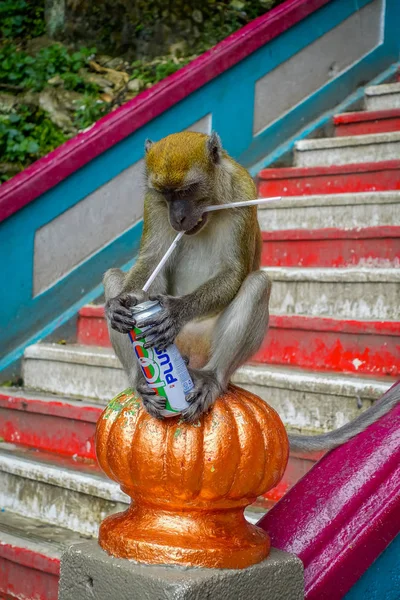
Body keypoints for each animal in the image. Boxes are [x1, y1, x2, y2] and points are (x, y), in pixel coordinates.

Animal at [104, 130, 400, 450]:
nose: (178, 218)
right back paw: (141, 383)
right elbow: (152, 260)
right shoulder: (153, 205)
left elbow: (235, 272)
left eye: (187, 190)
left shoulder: (244, 193)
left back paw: (211, 377)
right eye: (167, 195)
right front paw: (120, 306)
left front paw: (176, 311)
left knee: (258, 284)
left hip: (206, 346)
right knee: (112, 275)